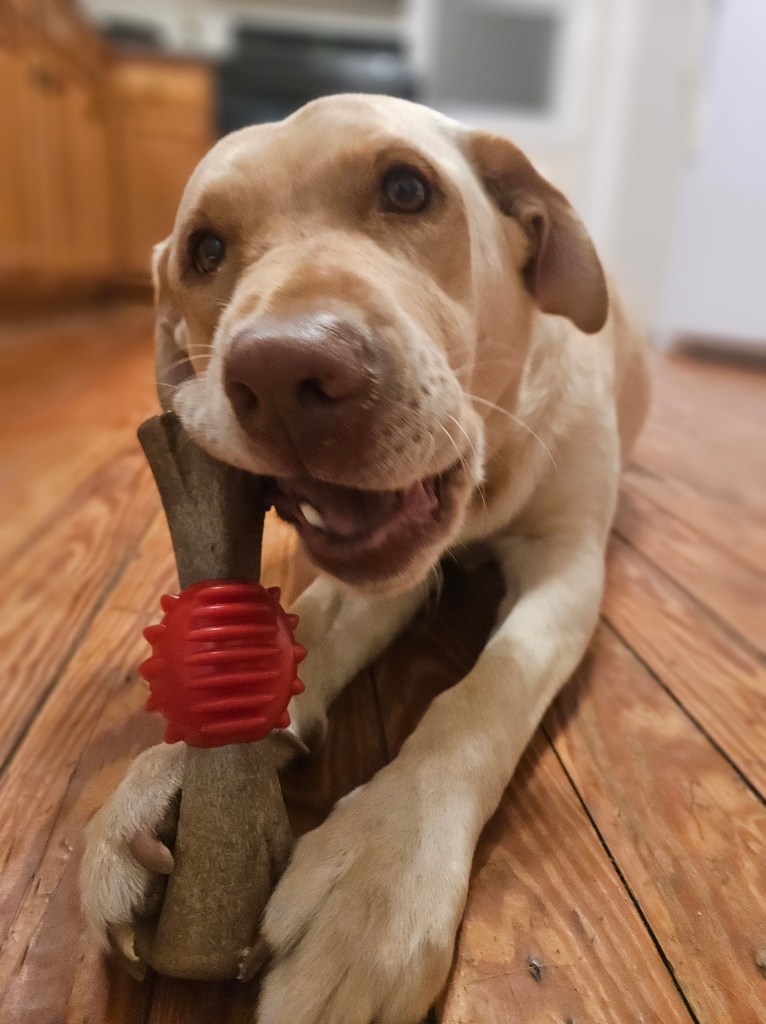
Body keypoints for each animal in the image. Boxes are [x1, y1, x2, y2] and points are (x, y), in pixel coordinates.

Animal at [80, 93, 650, 1024]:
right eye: (206, 250)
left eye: (408, 189)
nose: (283, 377)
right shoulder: (378, 578)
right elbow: (304, 628)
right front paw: (167, 779)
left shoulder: (568, 567)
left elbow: (479, 696)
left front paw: (382, 880)